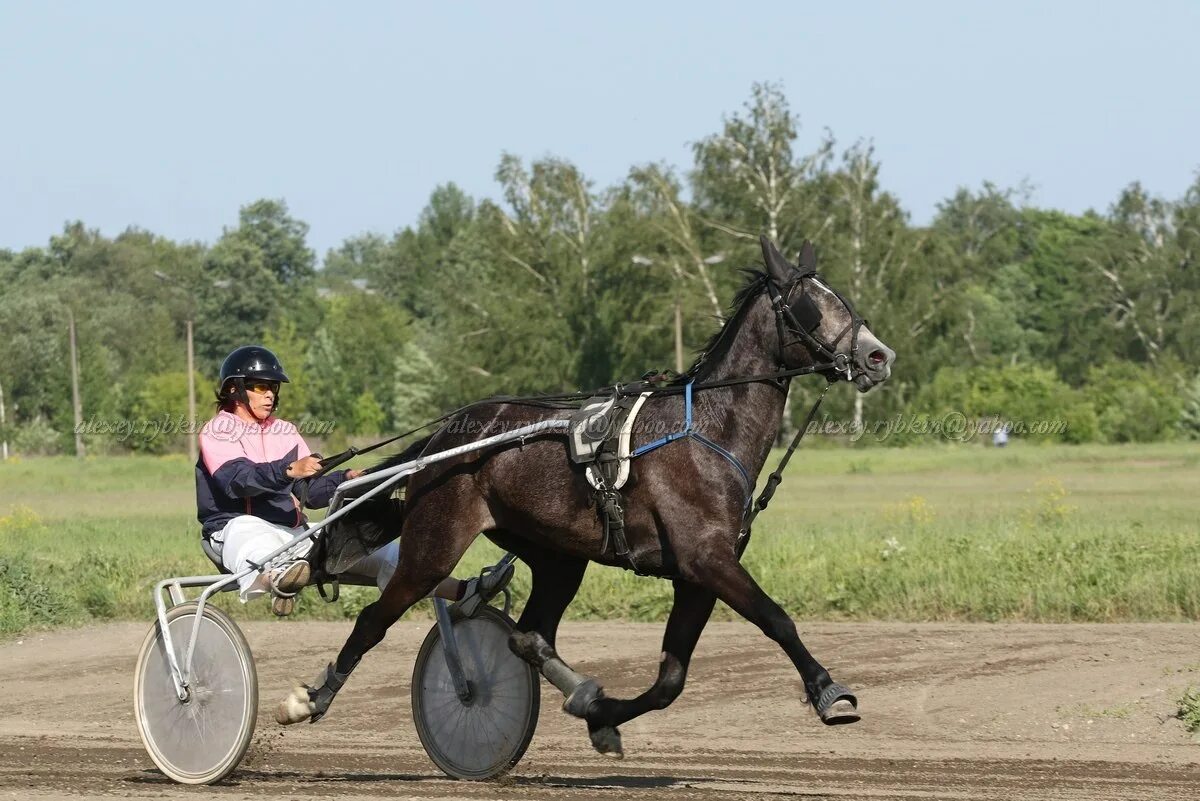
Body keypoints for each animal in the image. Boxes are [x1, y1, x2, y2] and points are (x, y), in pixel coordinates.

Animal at [274, 232, 892, 757]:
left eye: (840, 295)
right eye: (811, 303)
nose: (878, 356)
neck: (706, 434)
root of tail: (447, 437)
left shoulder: (697, 576)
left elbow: (670, 681)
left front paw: (602, 717)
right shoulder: (707, 560)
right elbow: (777, 619)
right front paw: (829, 692)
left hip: (556, 555)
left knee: (529, 637)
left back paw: (579, 691)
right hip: (434, 544)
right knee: (374, 619)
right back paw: (311, 698)